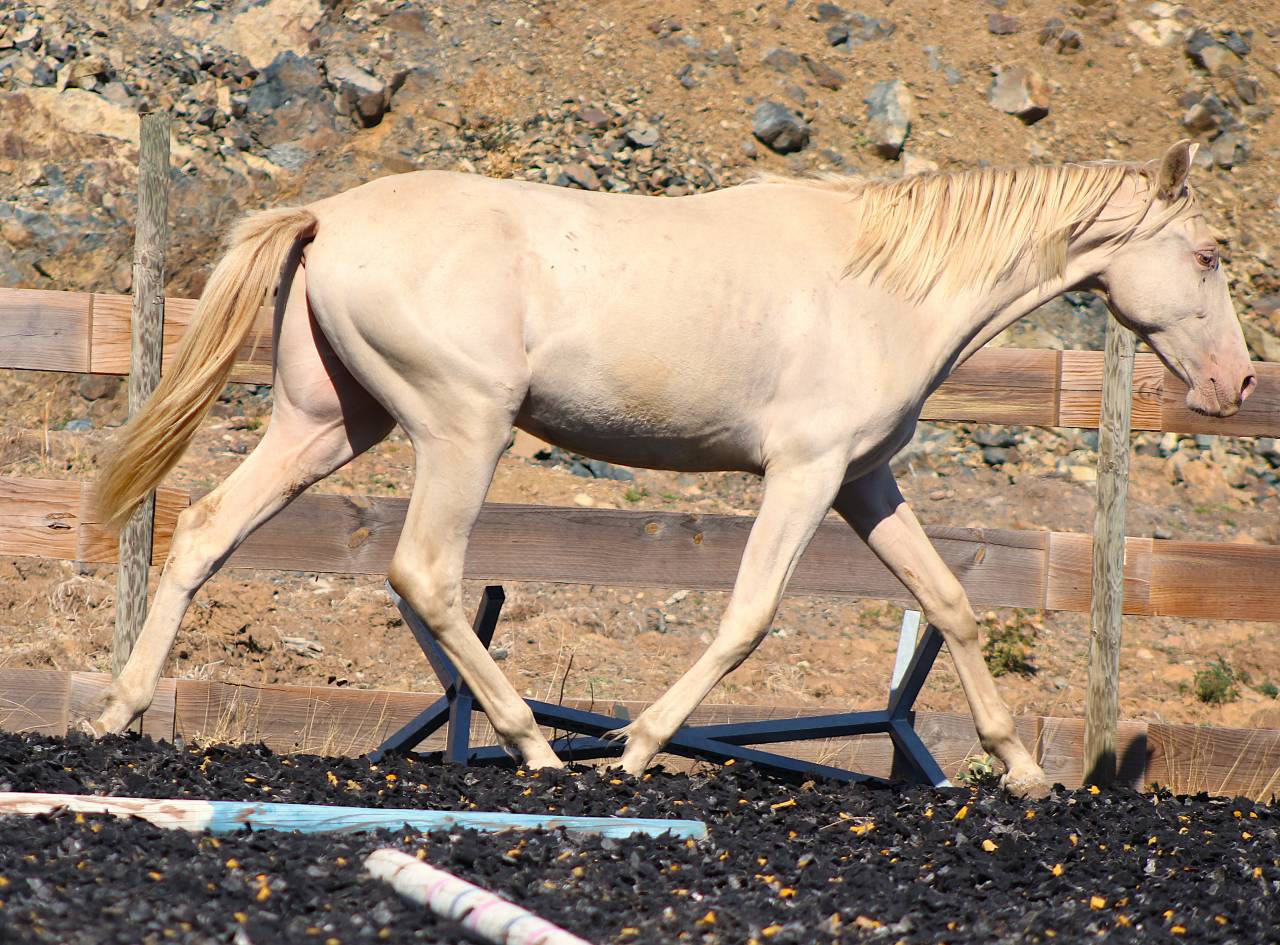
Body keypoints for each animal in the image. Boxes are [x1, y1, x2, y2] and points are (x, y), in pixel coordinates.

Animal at [89, 141, 1254, 797]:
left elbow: (953, 605)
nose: (1237, 384)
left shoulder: (864, 481)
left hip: (330, 422)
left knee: (206, 531)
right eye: (1204, 256)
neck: (892, 282)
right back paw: (536, 749)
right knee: (425, 573)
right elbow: (747, 617)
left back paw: (119, 712)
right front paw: (639, 747)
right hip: (462, 431)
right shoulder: (803, 474)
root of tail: (328, 215)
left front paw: (1021, 773)